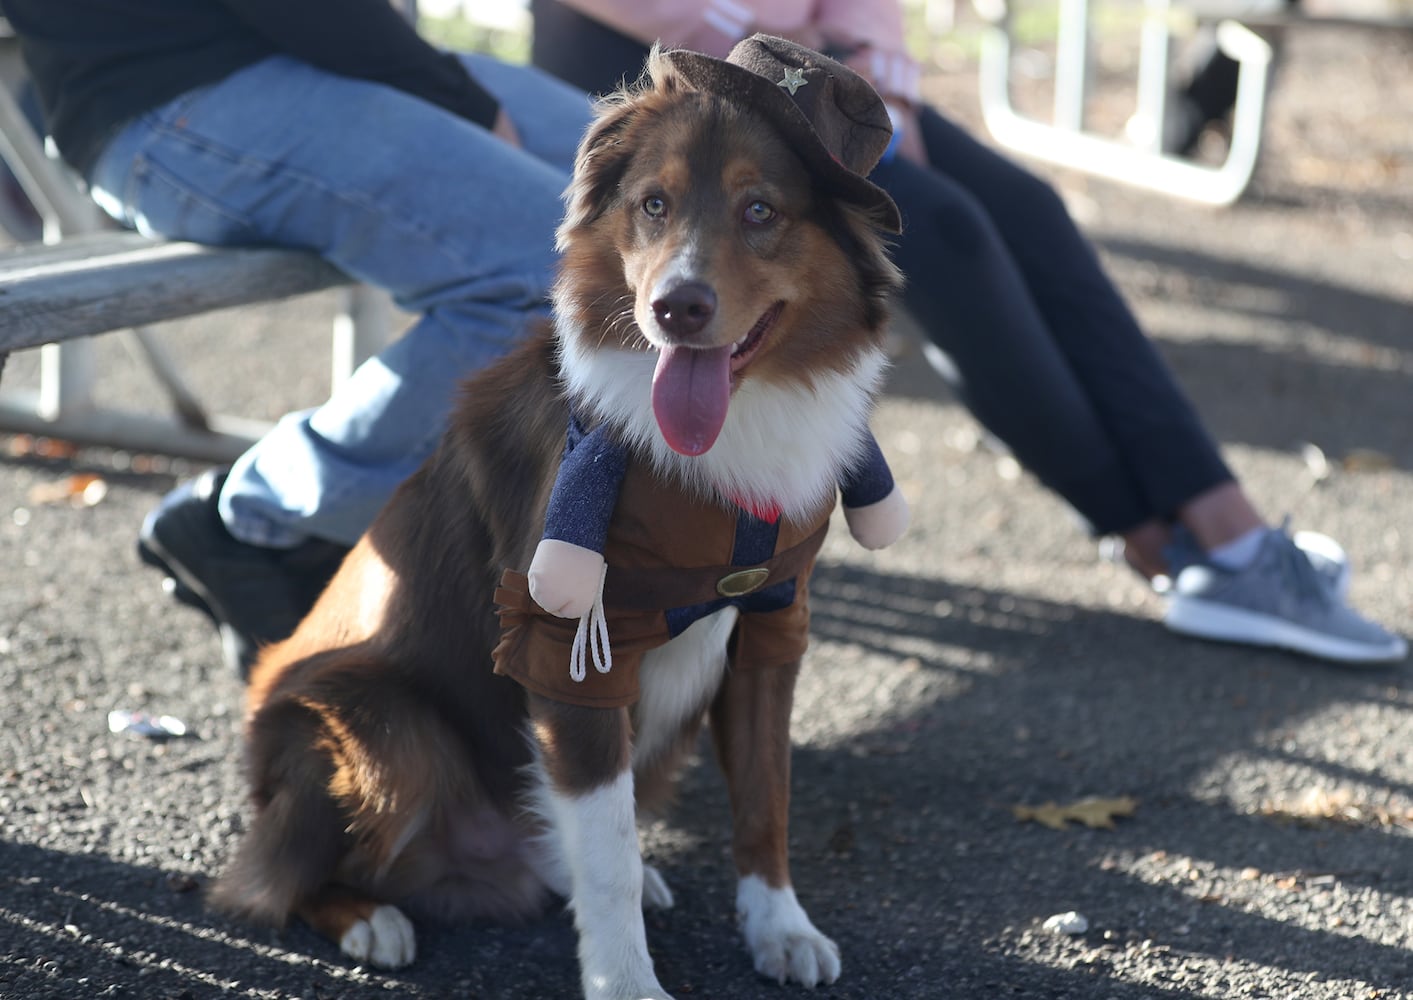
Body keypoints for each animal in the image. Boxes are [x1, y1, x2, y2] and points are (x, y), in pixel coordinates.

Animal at [214, 35, 909, 994]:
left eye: (760, 210)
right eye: (653, 204)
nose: (675, 309)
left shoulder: (772, 622)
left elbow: (766, 796)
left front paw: (779, 926)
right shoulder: (569, 644)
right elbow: (607, 852)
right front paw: (627, 981)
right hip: (385, 731)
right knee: (273, 875)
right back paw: (367, 919)